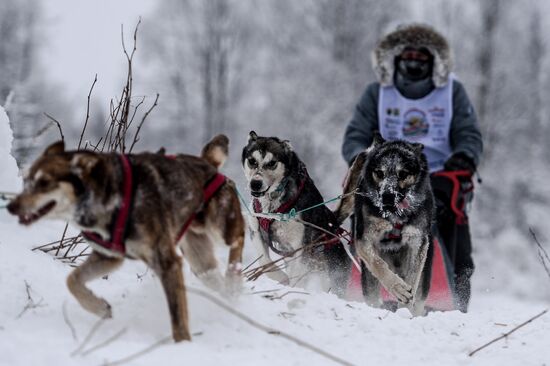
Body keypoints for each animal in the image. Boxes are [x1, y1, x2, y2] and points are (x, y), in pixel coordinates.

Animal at [8, 135, 246, 344]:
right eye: (27, 181)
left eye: (44, 182)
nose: (11, 206)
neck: (112, 199)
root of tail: (207, 162)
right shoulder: (109, 256)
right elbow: (72, 280)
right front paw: (99, 307)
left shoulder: (167, 262)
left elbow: (177, 316)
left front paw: (183, 344)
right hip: (199, 261)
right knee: (213, 277)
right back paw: (229, 297)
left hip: (220, 227)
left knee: (238, 237)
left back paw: (233, 276)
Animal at [244, 132, 352, 294]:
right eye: (252, 161)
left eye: (272, 163)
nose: (255, 183)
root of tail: (333, 223)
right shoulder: (256, 232)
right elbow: (265, 260)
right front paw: (282, 278)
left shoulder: (301, 245)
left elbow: (297, 274)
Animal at [336, 134, 436, 314]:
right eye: (379, 173)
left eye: (403, 173)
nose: (387, 197)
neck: (394, 216)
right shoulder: (365, 240)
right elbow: (378, 264)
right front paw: (397, 287)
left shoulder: (417, 242)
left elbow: (412, 280)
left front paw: (404, 308)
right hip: (368, 277)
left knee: (419, 298)